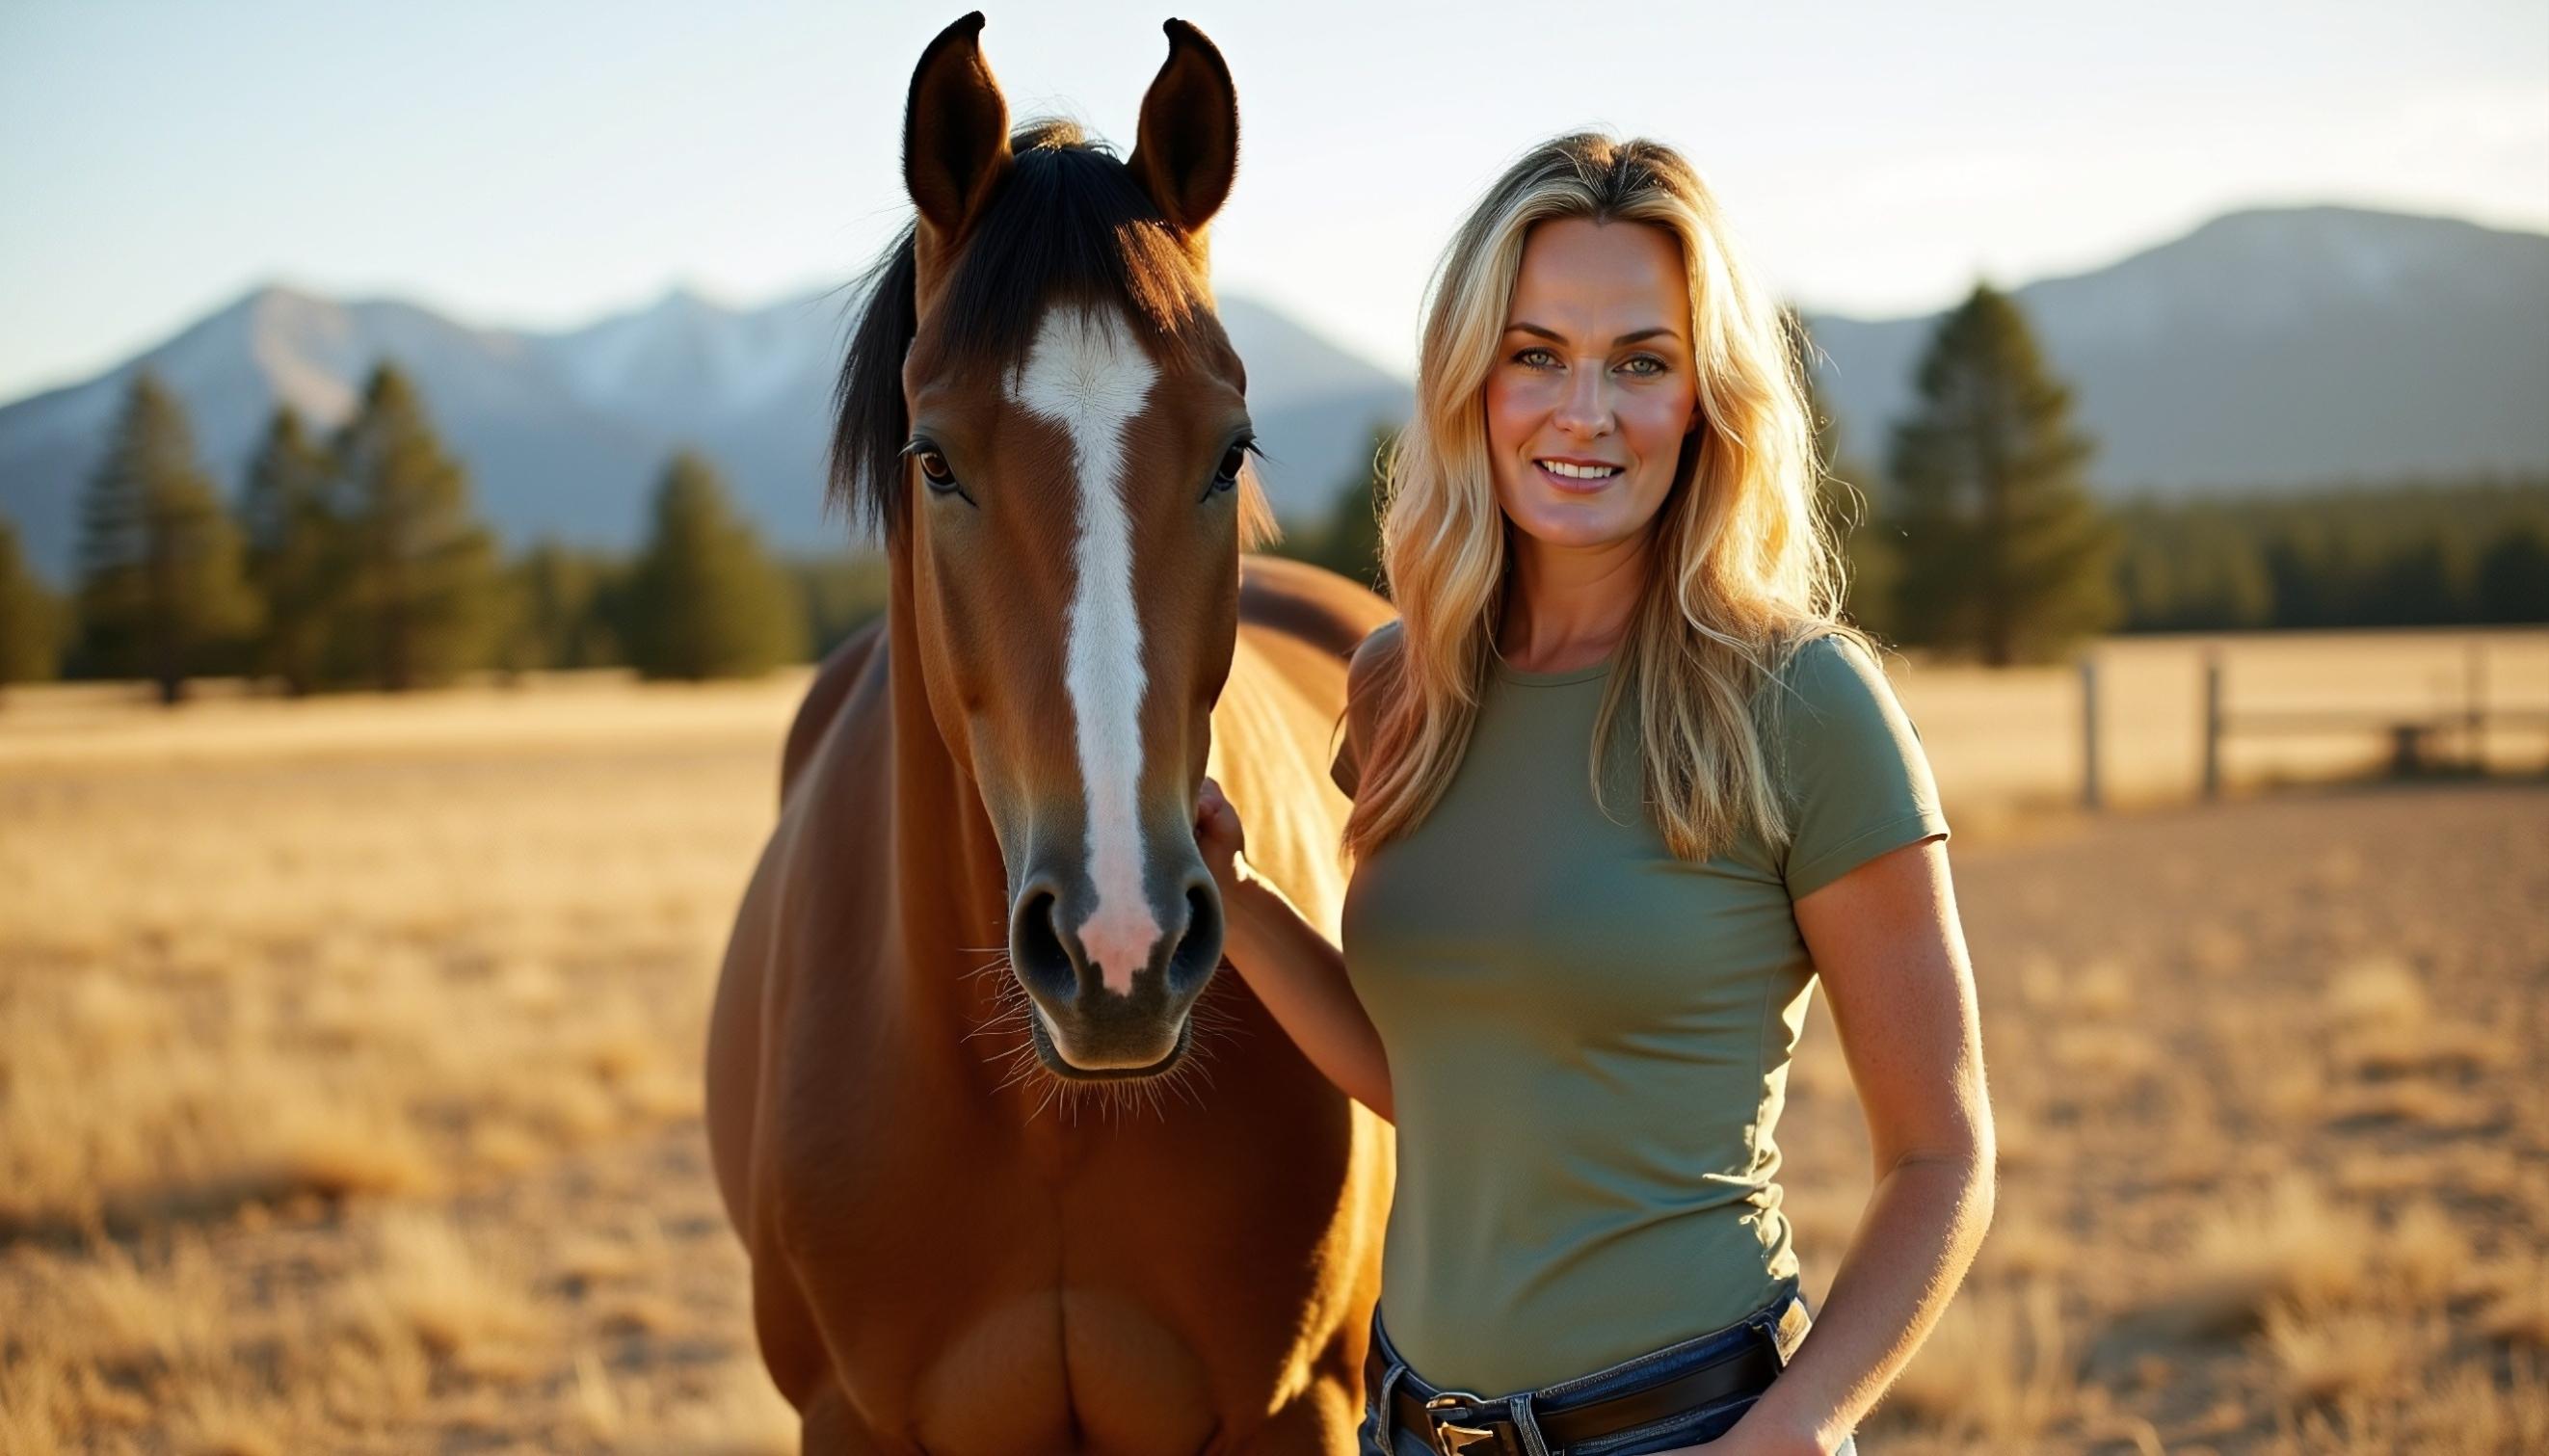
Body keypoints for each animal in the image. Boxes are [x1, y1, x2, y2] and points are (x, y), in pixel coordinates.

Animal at [705, 15, 1394, 1452]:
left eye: (1230, 449)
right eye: (933, 458)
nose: (1117, 944)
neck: (1049, 1121)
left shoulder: (1302, 1403)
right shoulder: (846, 1416)